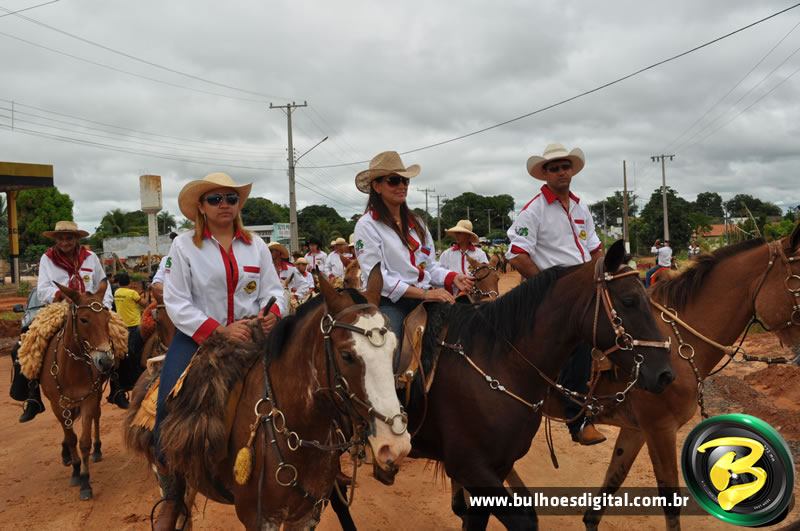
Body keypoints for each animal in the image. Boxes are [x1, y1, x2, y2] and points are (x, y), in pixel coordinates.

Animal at [39, 281, 116, 501]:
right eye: (84, 320)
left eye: (107, 318)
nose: (106, 361)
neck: (70, 368)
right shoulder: (57, 404)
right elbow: (71, 438)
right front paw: (75, 471)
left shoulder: (89, 399)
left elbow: (83, 442)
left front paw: (85, 482)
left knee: (97, 416)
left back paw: (97, 451)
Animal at [128, 265, 412, 530]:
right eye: (347, 355)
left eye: (394, 349)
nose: (395, 446)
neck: (299, 433)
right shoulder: (259, 519)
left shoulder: (306, 516)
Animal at [398, 240, 674, 530]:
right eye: (629, 301)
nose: (665, 374)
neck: (497, 362)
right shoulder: (468, 466)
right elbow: (524, 520)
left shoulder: (497, 465)